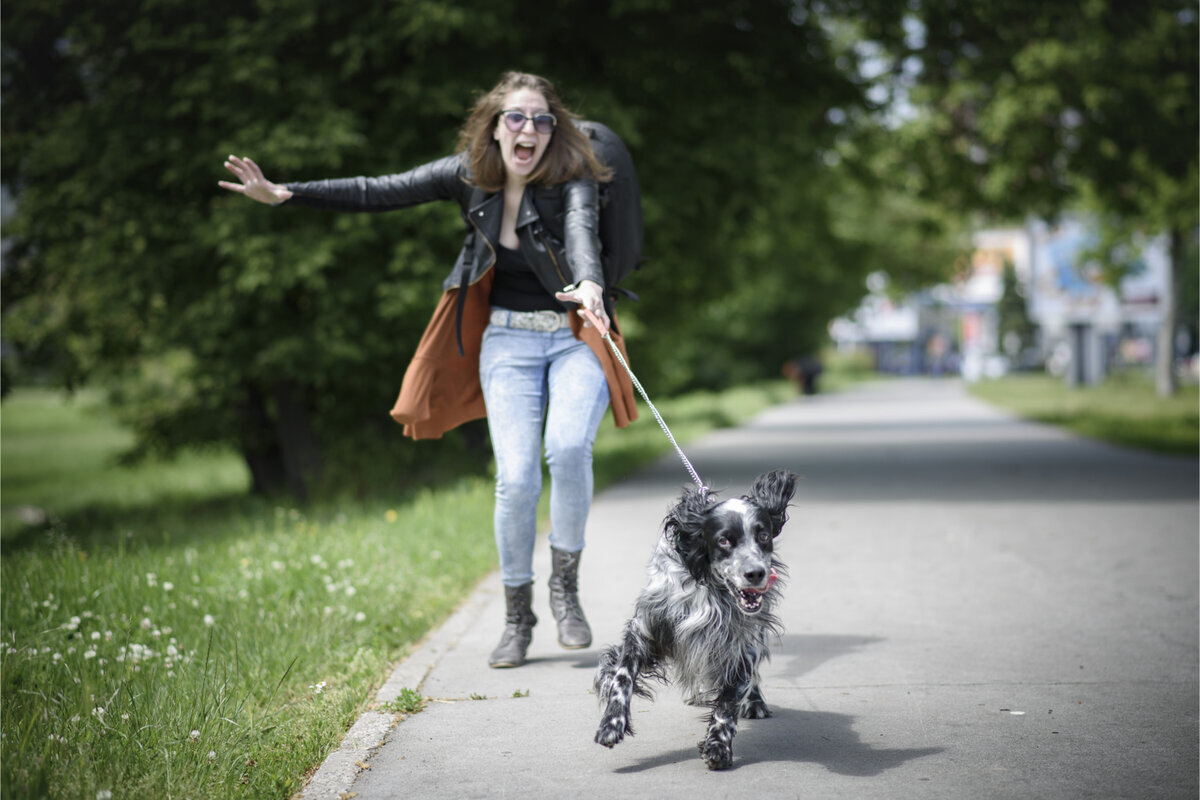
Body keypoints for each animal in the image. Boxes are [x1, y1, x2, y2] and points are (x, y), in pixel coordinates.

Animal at [592, 470, 796, 767]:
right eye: (724, 540)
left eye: (764, 535)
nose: (756, 573)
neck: (709, 586)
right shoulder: (645, 629)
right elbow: (621, 676)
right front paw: (611, 723)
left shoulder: (739, 645)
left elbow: (728, 703)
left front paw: (718, 746)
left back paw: (755, 702)